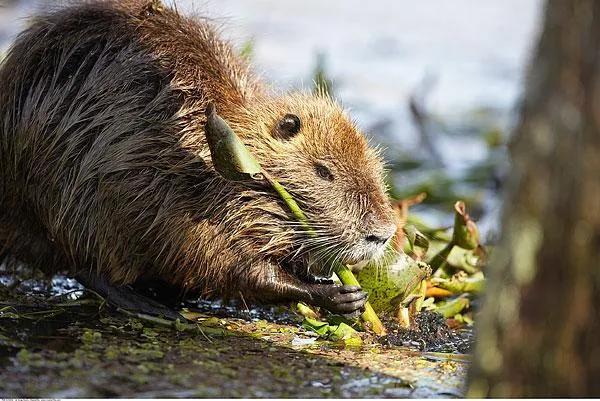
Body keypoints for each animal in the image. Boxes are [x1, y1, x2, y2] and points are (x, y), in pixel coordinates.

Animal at [0, 1, 398, 318]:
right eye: (324, 171)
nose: (382, 233)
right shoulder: (179, 201)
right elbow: (230, 266)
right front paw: (339, 295)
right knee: (82, 262)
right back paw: (152, 306)